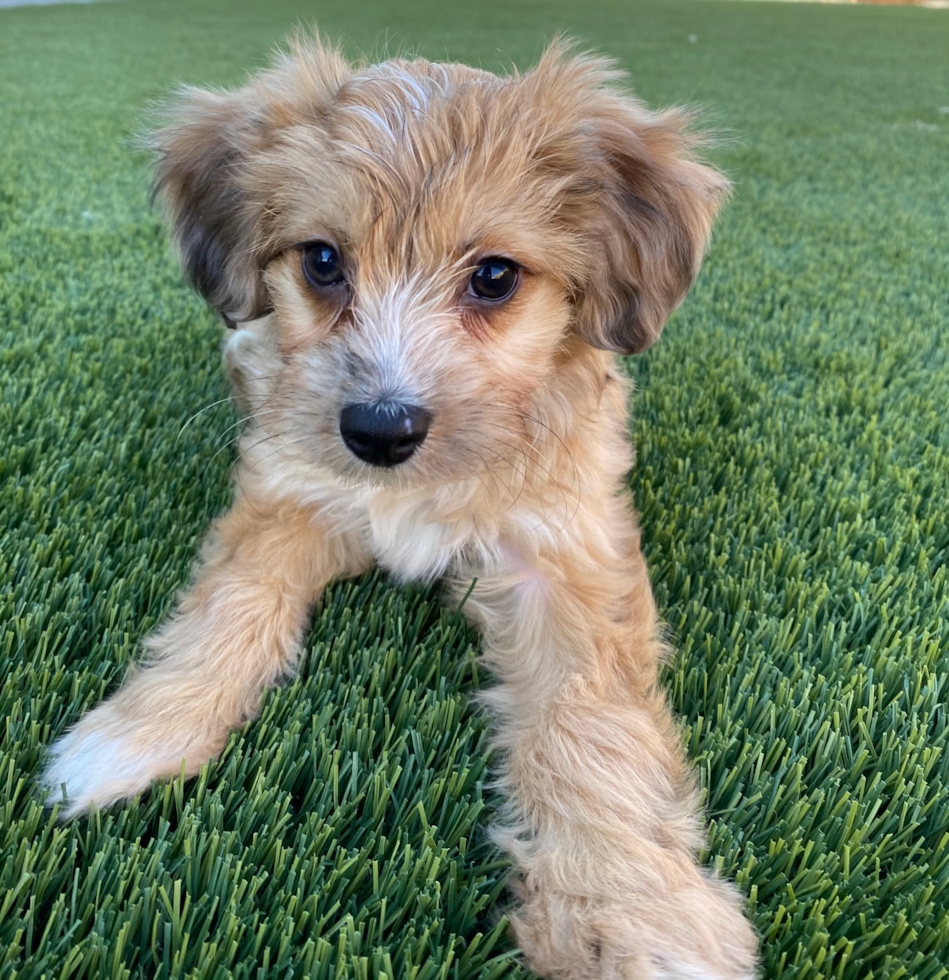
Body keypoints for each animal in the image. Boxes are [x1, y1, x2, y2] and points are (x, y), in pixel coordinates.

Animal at [40, 36, 760, 980]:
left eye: (493, 276)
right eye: (321, 261)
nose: (379, 430)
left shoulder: (560, 557)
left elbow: (586, 724)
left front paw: (626, 913)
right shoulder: (287, 500)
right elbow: (229, 610)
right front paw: (136, 733)